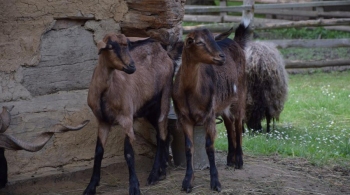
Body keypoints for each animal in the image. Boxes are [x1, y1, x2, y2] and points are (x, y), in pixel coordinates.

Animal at [85, 32, 175, 194]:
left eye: (128, 45)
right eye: (111, 47)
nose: (132, 67)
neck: (105, 92)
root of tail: (163, 51)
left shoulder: (126, 118)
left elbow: (128, 152)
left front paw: (134, 186)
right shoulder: (103, 121)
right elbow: (98, 151)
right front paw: (90, 187)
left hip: (165, 94)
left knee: (162, 133)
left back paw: (154, 175)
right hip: (149, 108)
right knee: (164, 133)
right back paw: (162, 171)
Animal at [172, 21, 249, 193]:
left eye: (214, 39)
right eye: (199, 42)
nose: (221, 57)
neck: (190, 91)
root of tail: (235, 42)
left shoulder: (208, 115)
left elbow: (209, 147)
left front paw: (216, 182)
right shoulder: (184, 117)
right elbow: (189, 147)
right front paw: (187, 181)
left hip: (240, 95)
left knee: (238, 124)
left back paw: (239, 161)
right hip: (223, 104)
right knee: (229, 127)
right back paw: (230, 159)